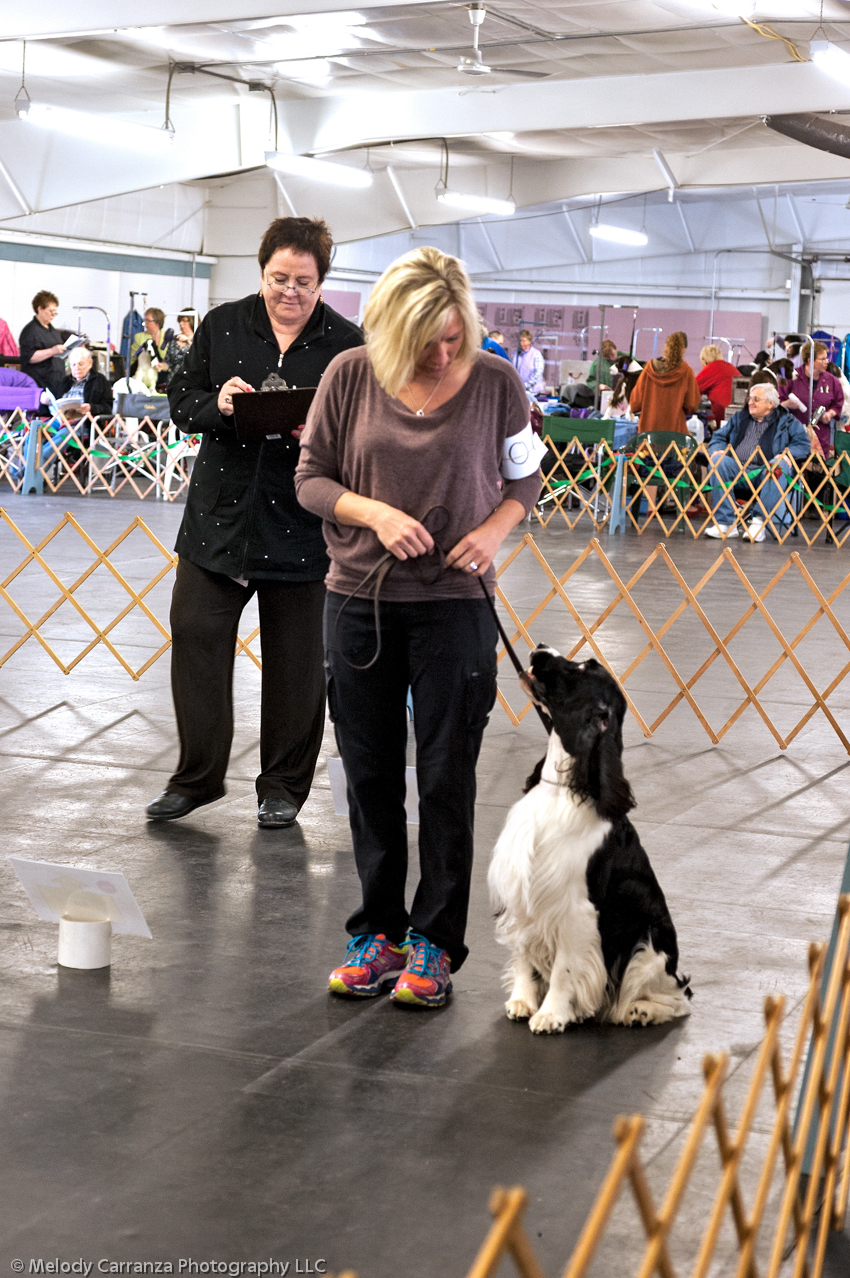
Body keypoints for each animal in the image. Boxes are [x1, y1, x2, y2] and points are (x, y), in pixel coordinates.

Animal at [483, 644, 690, 1032]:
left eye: (581, 668)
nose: (539, 648)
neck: (563, 788)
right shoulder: (523, 889)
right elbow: (524, 952)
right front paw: (522, 1000)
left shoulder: (575, 909)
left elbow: (565, 968)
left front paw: (551, 1014)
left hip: (649, 942)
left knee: (678, 998)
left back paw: (641, 1011)